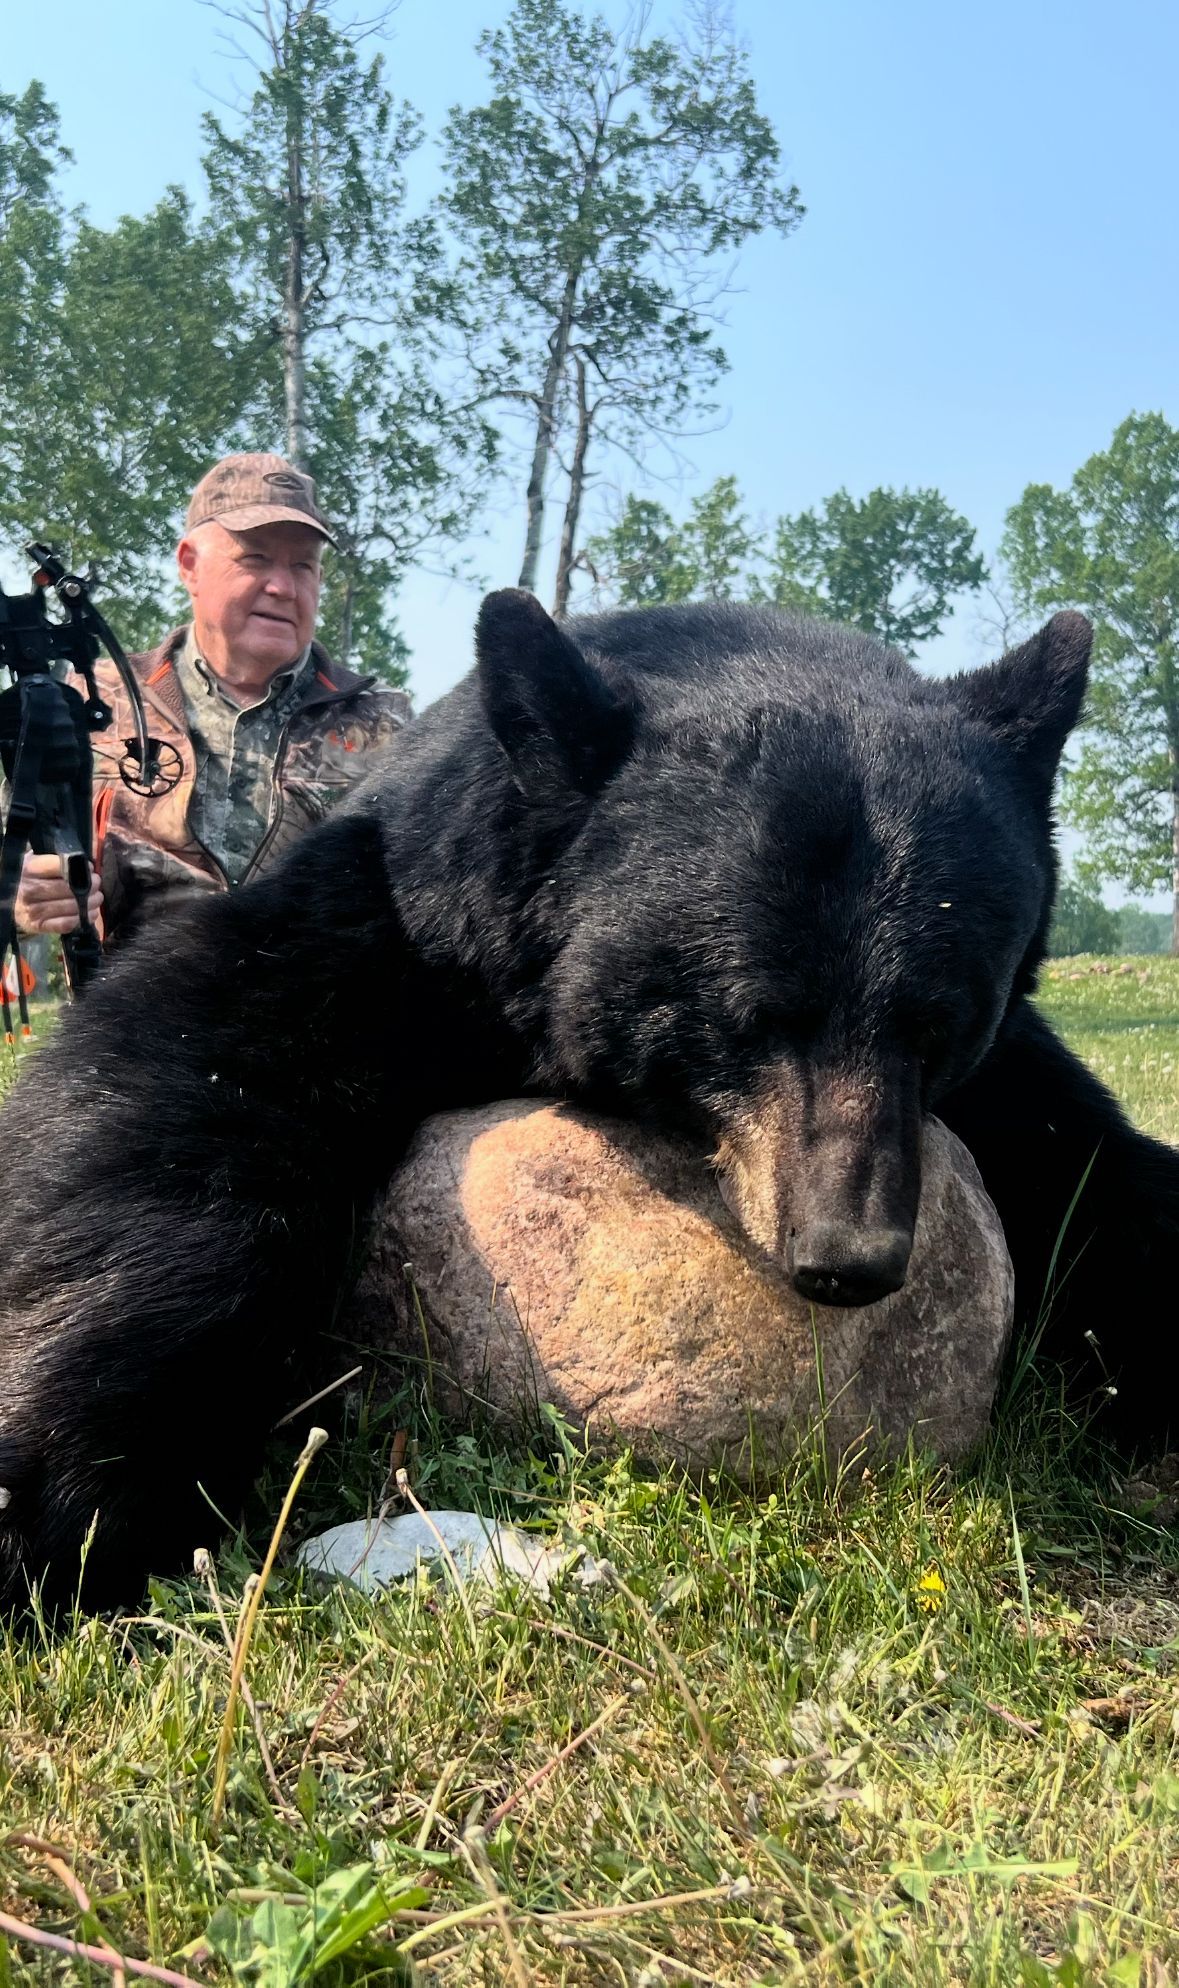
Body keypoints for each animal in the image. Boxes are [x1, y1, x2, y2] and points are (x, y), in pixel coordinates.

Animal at [0, 591, 1175, 1612]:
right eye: (752, 1016)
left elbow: (1096, 1171)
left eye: (938, 1022)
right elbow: (180, 1087)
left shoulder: (1007, 1074)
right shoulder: (397, 912)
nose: (851, 1255)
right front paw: (58, 1489)